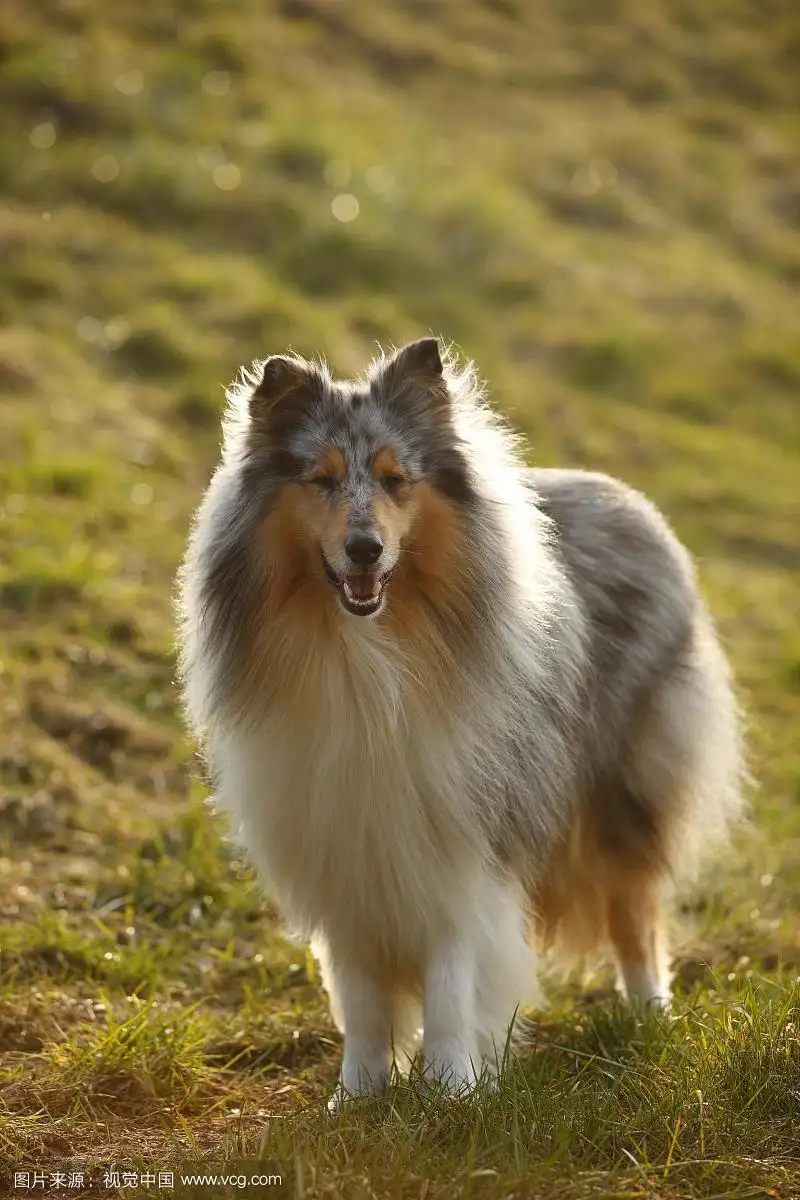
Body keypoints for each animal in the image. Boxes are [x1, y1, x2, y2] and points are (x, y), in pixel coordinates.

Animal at [175, 338, 743, 1104]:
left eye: (395, 480)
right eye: (321, 479)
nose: (363, 549)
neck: (366, 654)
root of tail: (629, 498)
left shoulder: (463, 847)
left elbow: (451, 981)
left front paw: (453, 1093)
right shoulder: (340, 851)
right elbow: (360, 996)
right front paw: (356, 1097)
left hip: (621, 791)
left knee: (636, 910)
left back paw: (651, 1018)